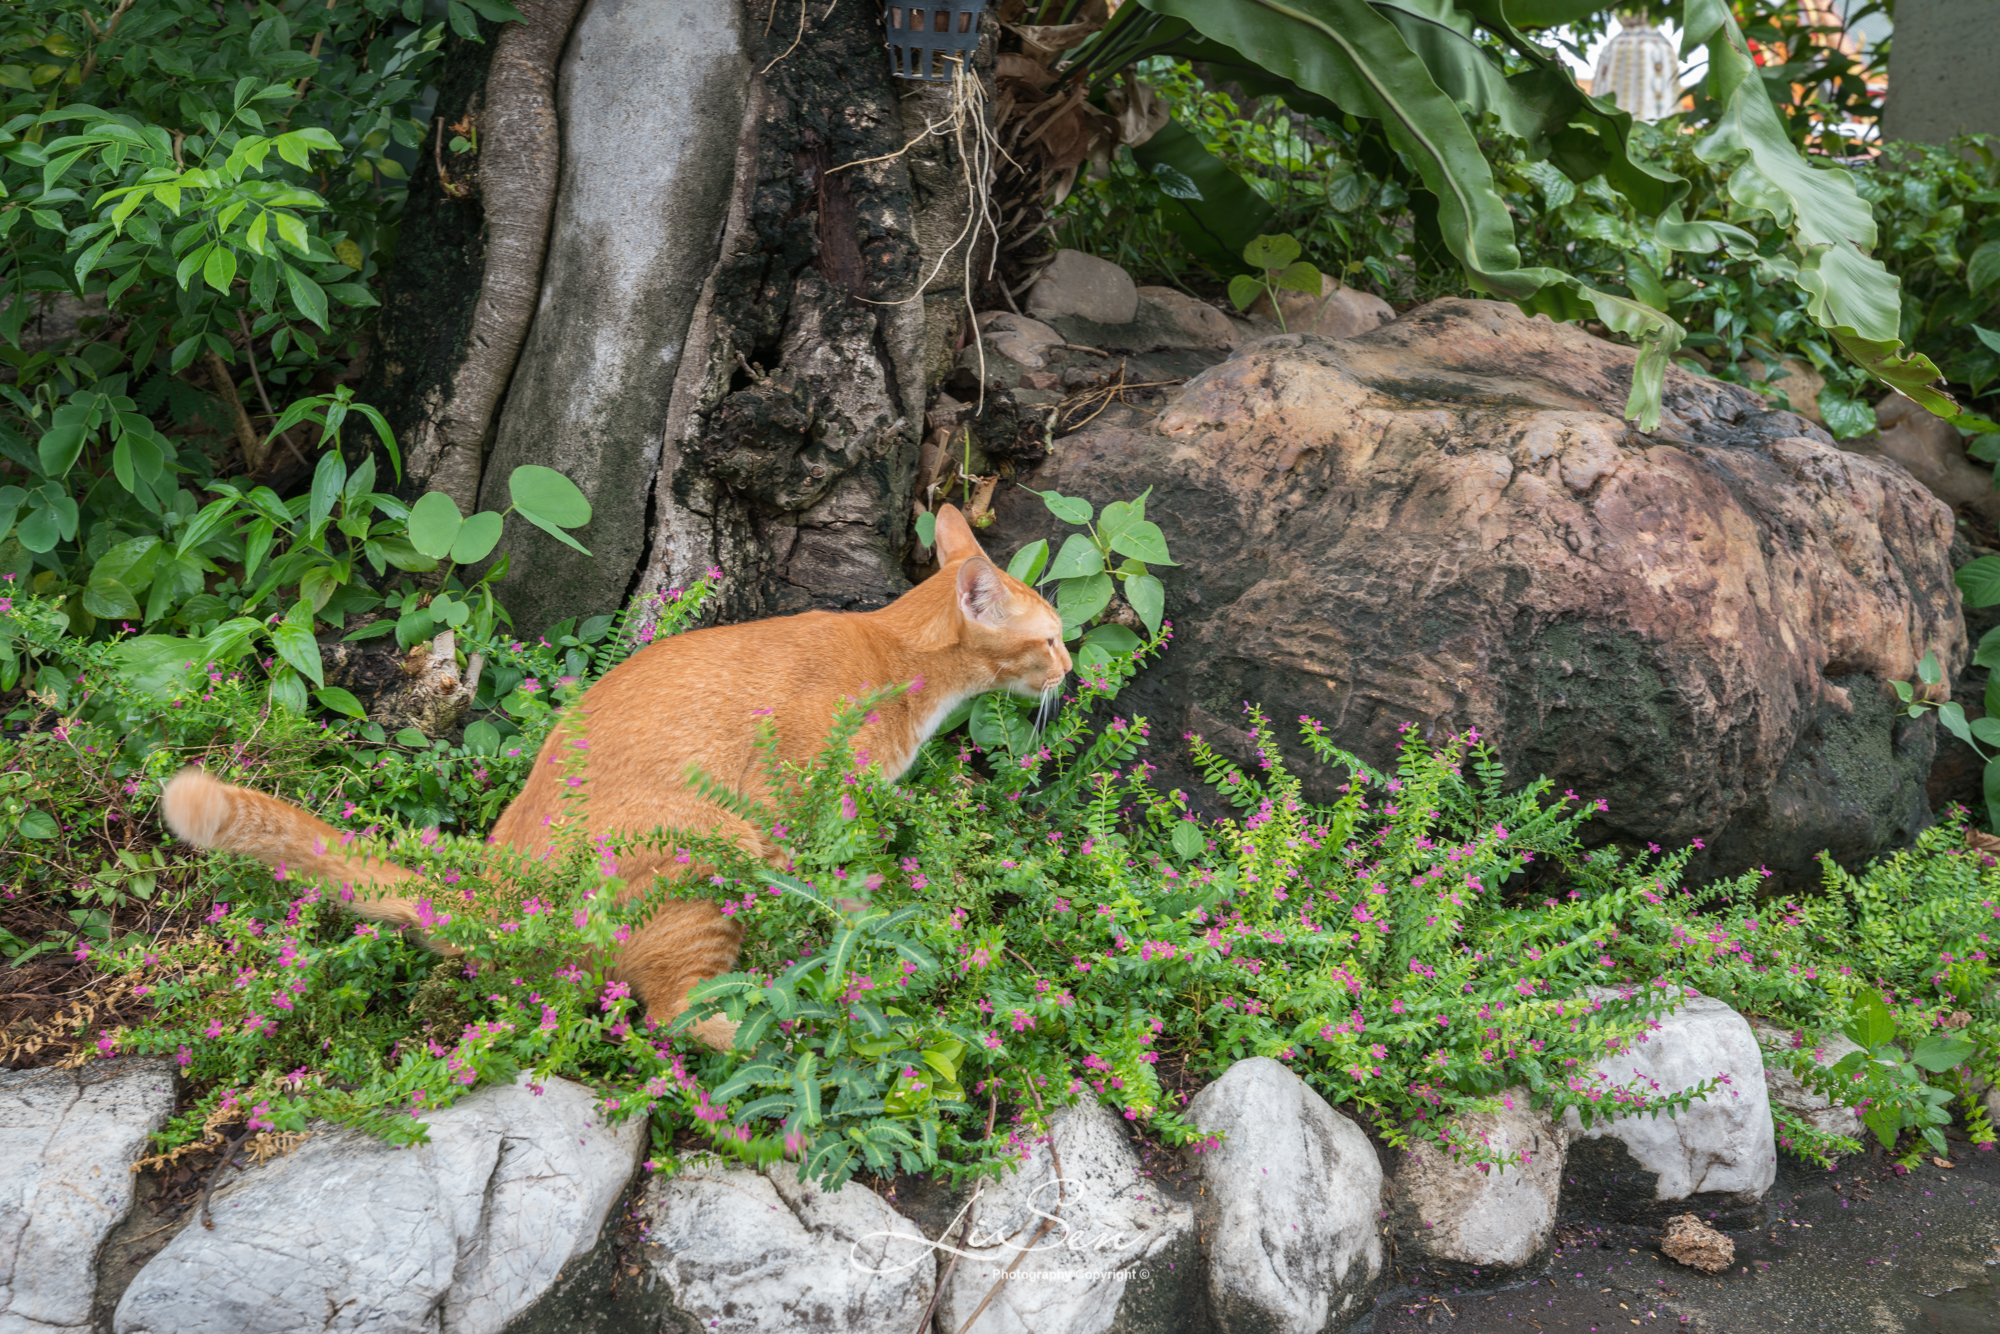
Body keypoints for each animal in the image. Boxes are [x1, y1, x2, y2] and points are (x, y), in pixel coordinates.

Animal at [164, 506, 1072, 1048]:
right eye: (1052, 637)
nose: (1073, 669)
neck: (896, 657)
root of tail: (499, 891)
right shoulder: (810, 812)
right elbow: (843, 890)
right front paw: (877, 939)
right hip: (715, 857)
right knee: (680, 1017)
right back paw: (794, 1025)